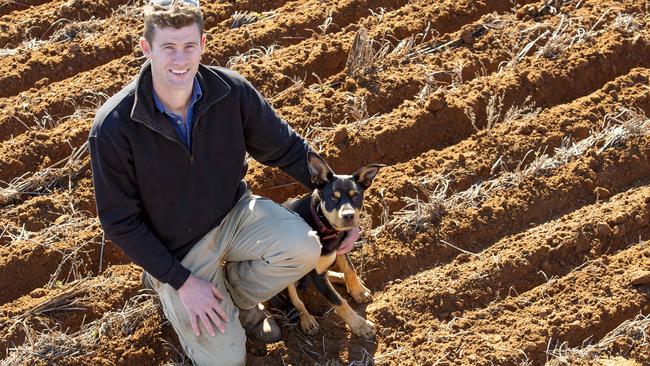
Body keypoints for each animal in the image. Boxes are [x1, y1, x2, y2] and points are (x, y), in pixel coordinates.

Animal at [280, 152, 382, 340]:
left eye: (356, 196)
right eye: (333, 198)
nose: (348, 216)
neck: (322, 225)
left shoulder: (341, 247)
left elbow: (350, 269)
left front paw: (358, 291)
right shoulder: (316, 274)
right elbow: (338, 301)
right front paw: (360, 326)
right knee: (297, 300)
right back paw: (307, 321)